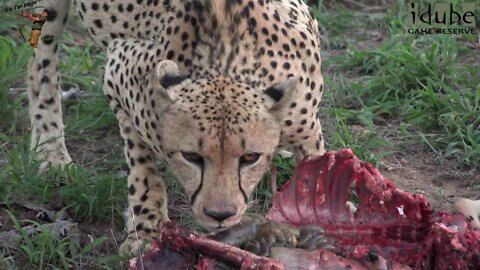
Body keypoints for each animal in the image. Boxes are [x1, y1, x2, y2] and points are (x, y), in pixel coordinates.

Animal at [27, 0, 326, 254]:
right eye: (191, 156)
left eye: (250, 157)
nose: (220, 214)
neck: (225, 61)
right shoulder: (118, 76)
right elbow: (143, 169)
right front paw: (147, 229)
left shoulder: (305, 124)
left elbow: (317, 167)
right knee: (40, 61)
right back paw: (50, 150)